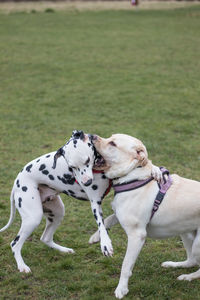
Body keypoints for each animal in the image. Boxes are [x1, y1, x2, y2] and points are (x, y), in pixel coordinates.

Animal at [0, 130, 162, 274]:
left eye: (87, 161)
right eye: (71, 167)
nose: (87, 182)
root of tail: (17, 181)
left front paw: (156, 171)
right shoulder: (95, 203)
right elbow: (101, 225)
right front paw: (105, 243)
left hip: (57, 213)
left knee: (45, 238)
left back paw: (64, 250)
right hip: (33, 217)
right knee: (15, 244)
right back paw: (22, 266)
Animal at [92, 135, 200, 298]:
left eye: (113, 143)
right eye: (110, 137)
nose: (92, 136)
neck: (132, 176)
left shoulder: (137, 235)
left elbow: (125, 266)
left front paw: (121, 289)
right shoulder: (120, 212)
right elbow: (108, 219)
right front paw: (96, 237)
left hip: (198, 244)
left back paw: (188, 277)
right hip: (186, 233)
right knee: (191, 260)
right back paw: (174, 265)